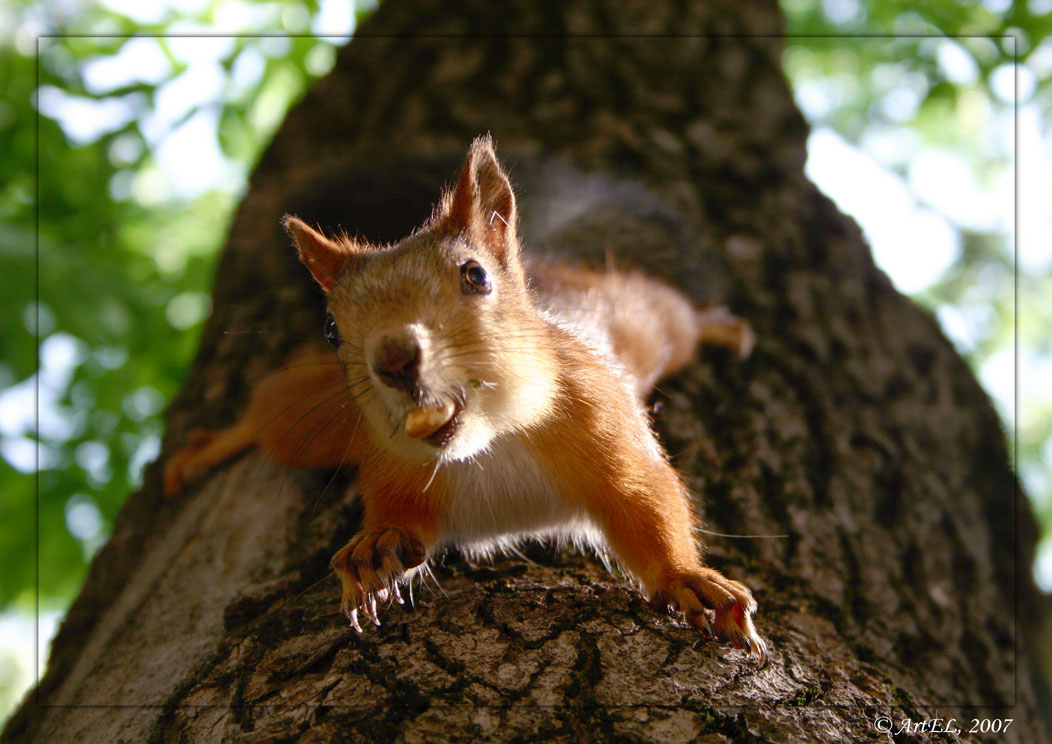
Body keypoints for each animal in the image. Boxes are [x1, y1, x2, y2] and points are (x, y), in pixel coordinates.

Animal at [164, 136, 765, 662]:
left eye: (475, 275)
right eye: (332, 329)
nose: (395, 357)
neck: (489, 442)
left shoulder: (602, 417)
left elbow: (646, 500)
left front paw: (688, 580)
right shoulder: (389, 462)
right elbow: (401, 519)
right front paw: (374, 546)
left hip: (639, 319)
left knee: (674, 312)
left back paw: (719, 327)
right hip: (316, 420)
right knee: (267, 419)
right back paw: (211, 446)